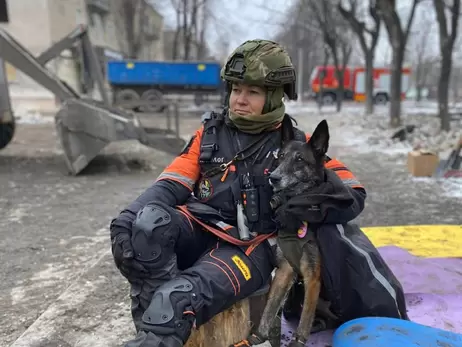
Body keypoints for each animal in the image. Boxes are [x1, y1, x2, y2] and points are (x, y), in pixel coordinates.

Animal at [247, 120, 334, 347]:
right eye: (281, 156)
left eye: (300, 159)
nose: (273, 178)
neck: (296, 209)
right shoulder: (285, 270)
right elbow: (269, 308)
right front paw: (258, 336)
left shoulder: (312, 276)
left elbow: (305, 318)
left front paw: (298, 340)